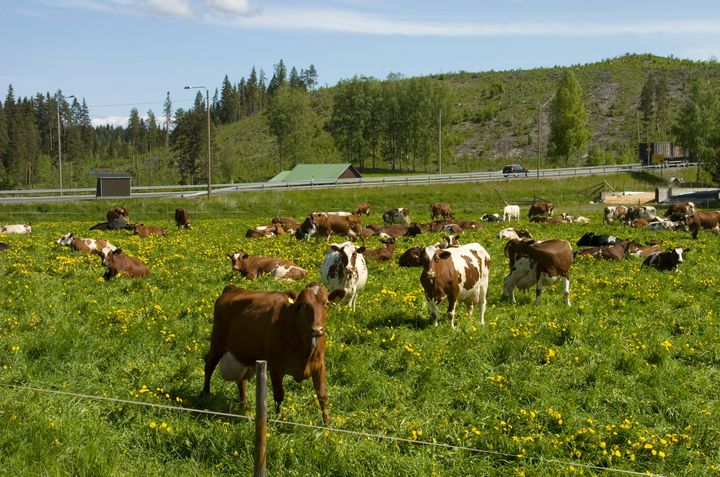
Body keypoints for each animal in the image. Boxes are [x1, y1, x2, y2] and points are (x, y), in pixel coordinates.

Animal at [202, 280, 346, 422]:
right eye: (303, 305)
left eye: (326, 303)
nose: (317, 329)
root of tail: (233, 288)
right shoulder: (275, 366)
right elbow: (279, 394)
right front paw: (277, 418)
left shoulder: (319, 364)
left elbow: (322, 395)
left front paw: (327, 422)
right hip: (217, 342)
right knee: (209, 365)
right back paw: (205, 393)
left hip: (241, 352)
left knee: (240, 379)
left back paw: (244, 402)